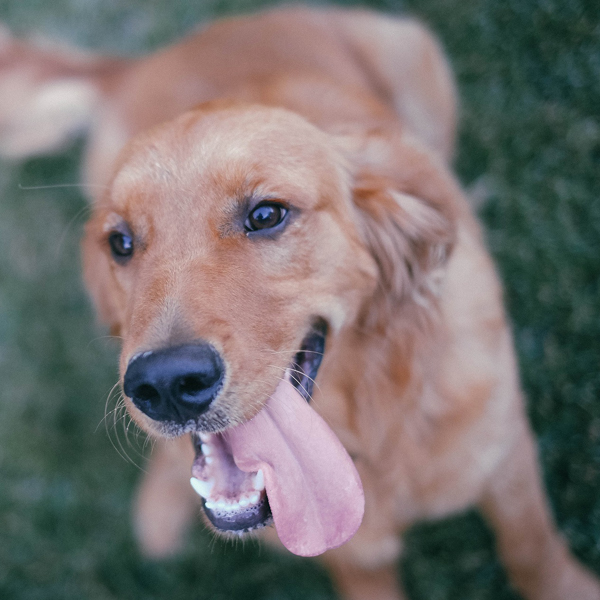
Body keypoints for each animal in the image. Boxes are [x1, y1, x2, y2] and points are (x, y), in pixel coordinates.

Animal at [1, 5, 600, 600]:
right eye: (120, 242)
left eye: (267, 214)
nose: (166, 385)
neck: (367, 429)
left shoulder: (507, 456)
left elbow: (531, 550)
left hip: (414, 54)